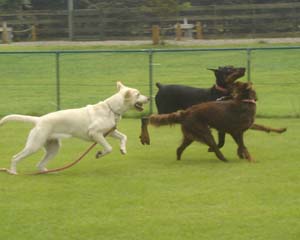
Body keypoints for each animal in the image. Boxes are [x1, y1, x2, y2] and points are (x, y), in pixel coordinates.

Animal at [0, 81, 149, 174]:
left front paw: (123, 149)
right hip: (34, 145)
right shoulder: (96, 133)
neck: (111, 109)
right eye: (138, 94)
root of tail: (39, 119)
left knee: (39, 165)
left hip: (53, 148)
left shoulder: (110, 132)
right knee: (15, 157)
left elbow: (124, 137)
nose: (148, 98)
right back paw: (13, 172)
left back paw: (49, 172)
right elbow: (109, 148)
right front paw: (100, 154)